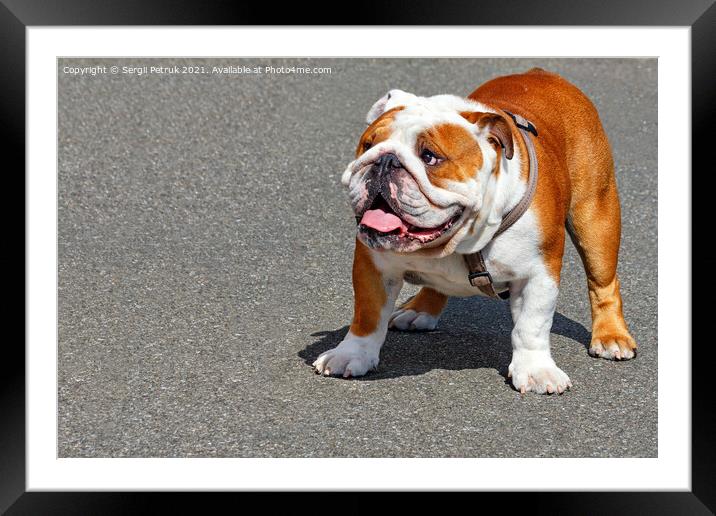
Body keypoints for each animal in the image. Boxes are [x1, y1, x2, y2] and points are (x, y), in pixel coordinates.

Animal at [314, 66, 636, 394]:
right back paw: (420, 309)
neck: (461, 239)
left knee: (603, 282)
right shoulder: (374, 265)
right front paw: (351, 354)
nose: (384, 161)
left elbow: (531, 325)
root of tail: (543, 74)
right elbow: (368, 314)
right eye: (367, 146)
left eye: (429, 157)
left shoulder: (538, 273)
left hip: (595, 218)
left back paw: (611, 336)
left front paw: (535, 370)